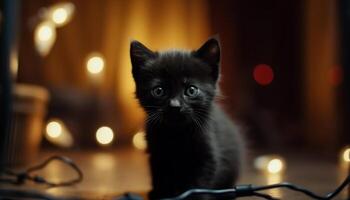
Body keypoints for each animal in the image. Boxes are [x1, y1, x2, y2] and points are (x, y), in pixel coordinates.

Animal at [131, 38, 243, 200]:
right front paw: (162, 194)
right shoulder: (157, 153)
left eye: (191, 90)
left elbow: (198, 185)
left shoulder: (207, 154)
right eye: (158, 91)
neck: (177, 133)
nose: (175, 105)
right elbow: (161, 177)